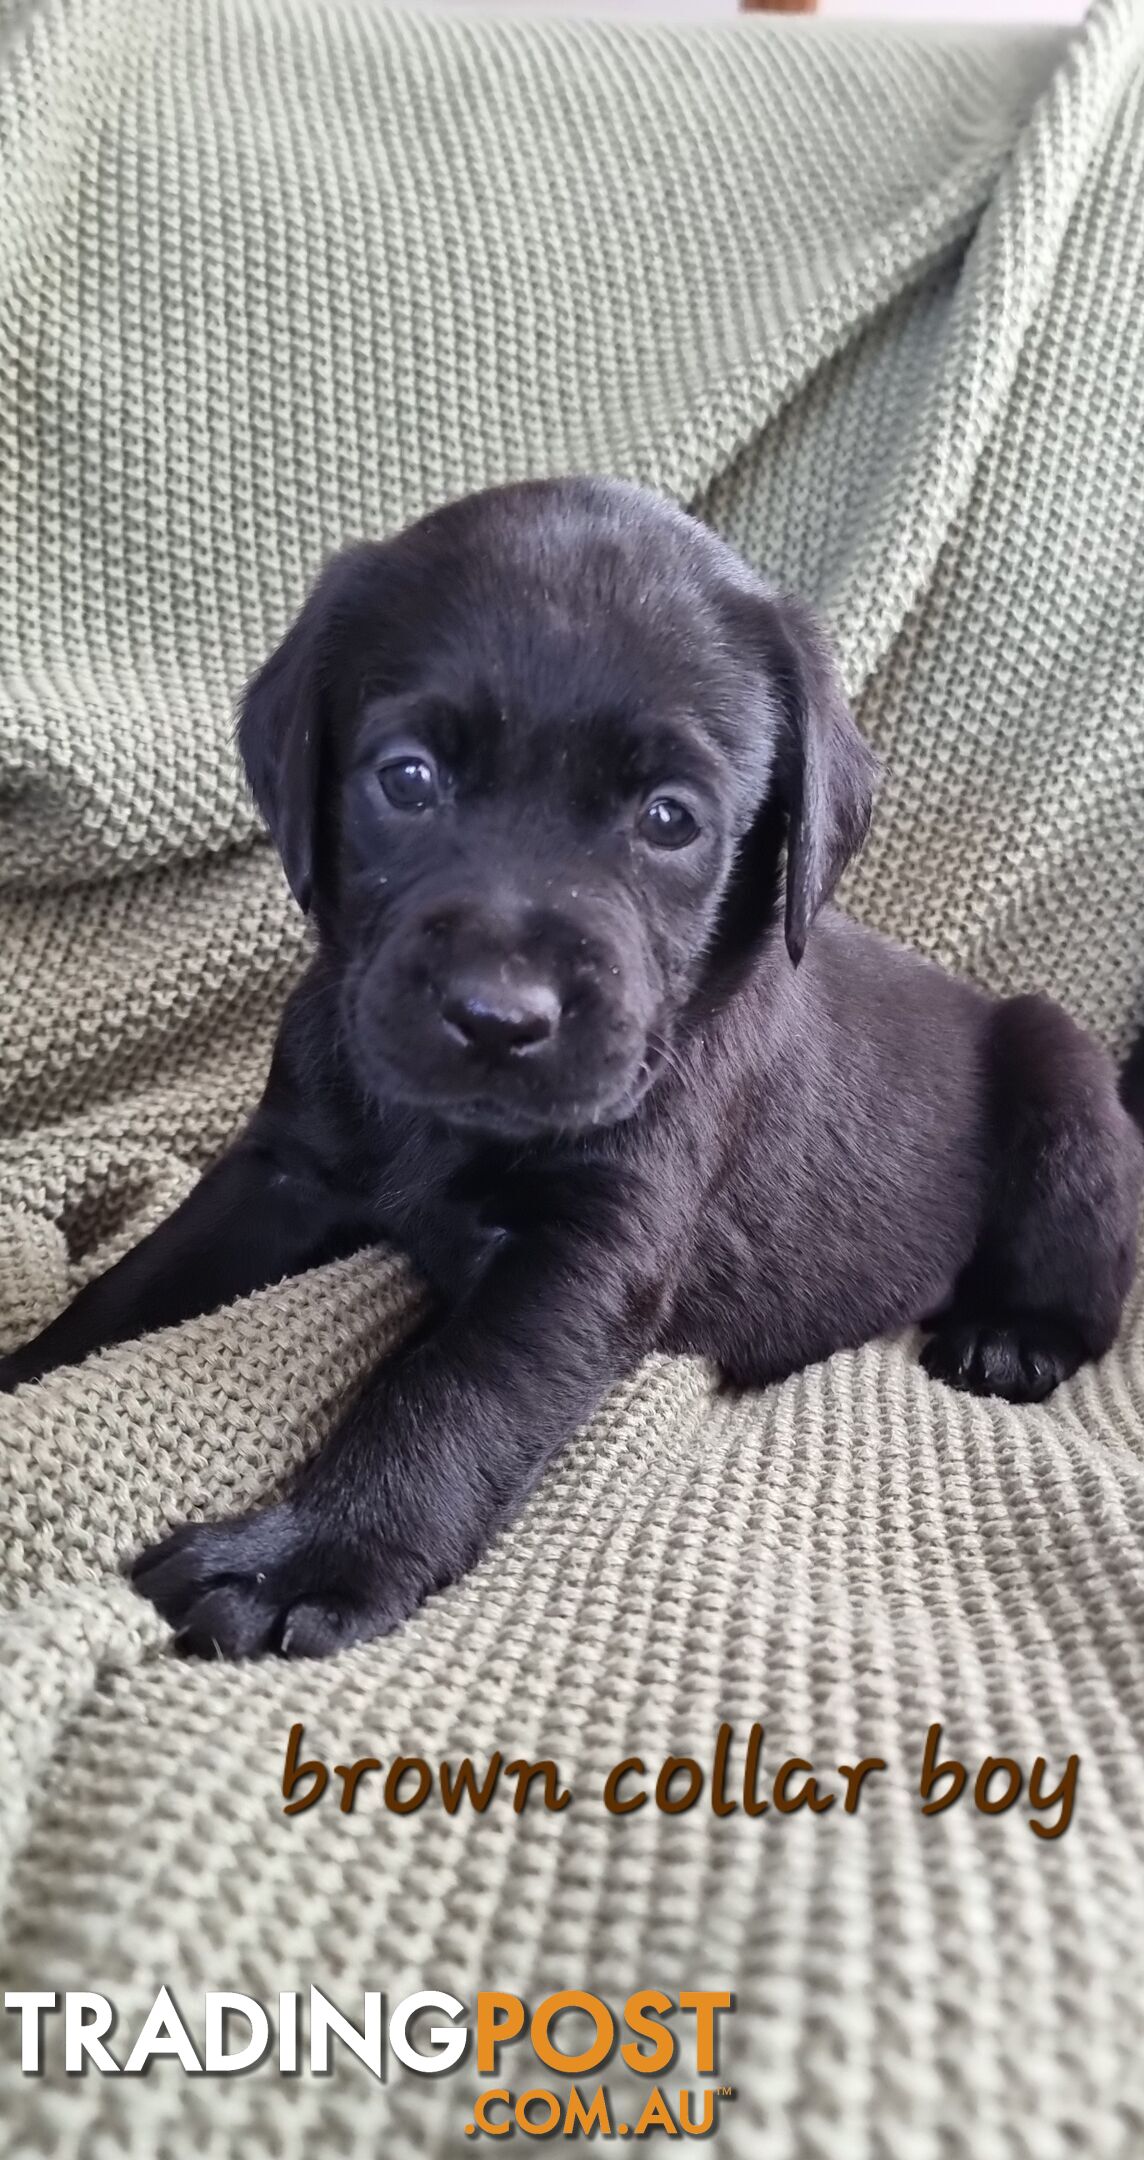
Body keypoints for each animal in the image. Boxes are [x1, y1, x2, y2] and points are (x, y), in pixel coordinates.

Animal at [4, 477, 1131, 1650]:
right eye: (406, 778)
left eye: (670, 819)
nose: (499, 1018)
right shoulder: (282, 1171)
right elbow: (129, 1291)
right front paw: (24, 1379)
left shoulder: (584, 1251)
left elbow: (448, 1392)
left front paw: (316, 1553)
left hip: (1061, 1071)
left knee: (1091, 1290)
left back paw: (1009, 1337)